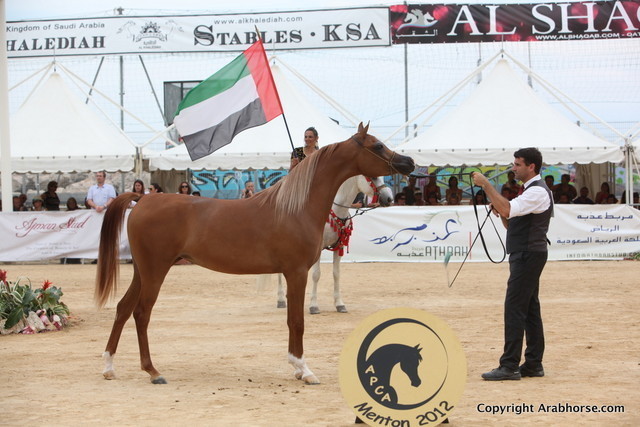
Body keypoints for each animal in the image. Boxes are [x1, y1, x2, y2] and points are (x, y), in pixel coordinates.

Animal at [274, 175, 394, 314]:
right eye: (373, 177)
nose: (389, 198)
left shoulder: (339, 246)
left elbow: (336, 274)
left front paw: (339, 304)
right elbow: (316, 275)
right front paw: (313, 306)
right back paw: (281, 300)